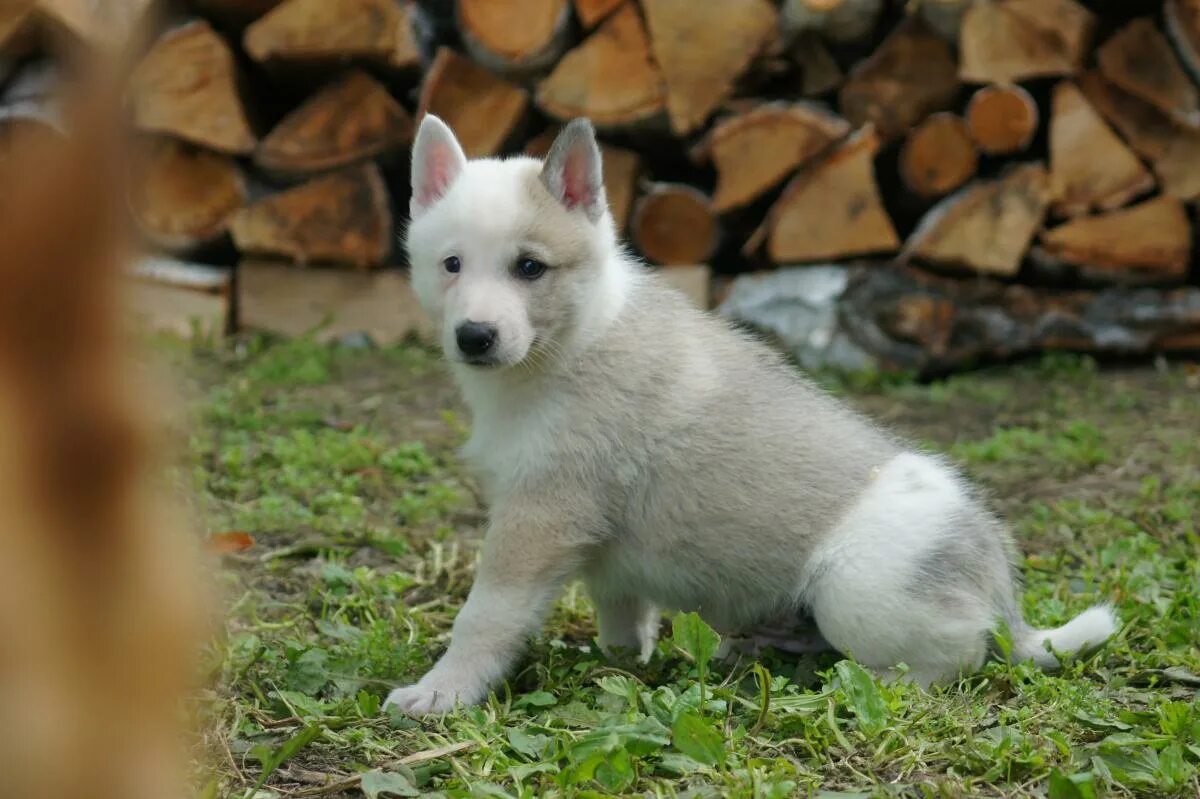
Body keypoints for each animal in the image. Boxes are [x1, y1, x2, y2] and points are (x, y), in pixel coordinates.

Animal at [384, 113, 1113, 715]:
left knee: (955, 656)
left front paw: (442, 691)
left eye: (530, 268)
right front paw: (623, 661)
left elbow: (484, 615)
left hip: (853, 587)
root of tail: (997, 575)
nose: (474, 337)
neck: (568, 347)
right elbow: (622, 612)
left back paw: (867, 684)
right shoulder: (592, 542)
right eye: (451, 264)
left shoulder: (538, 519)